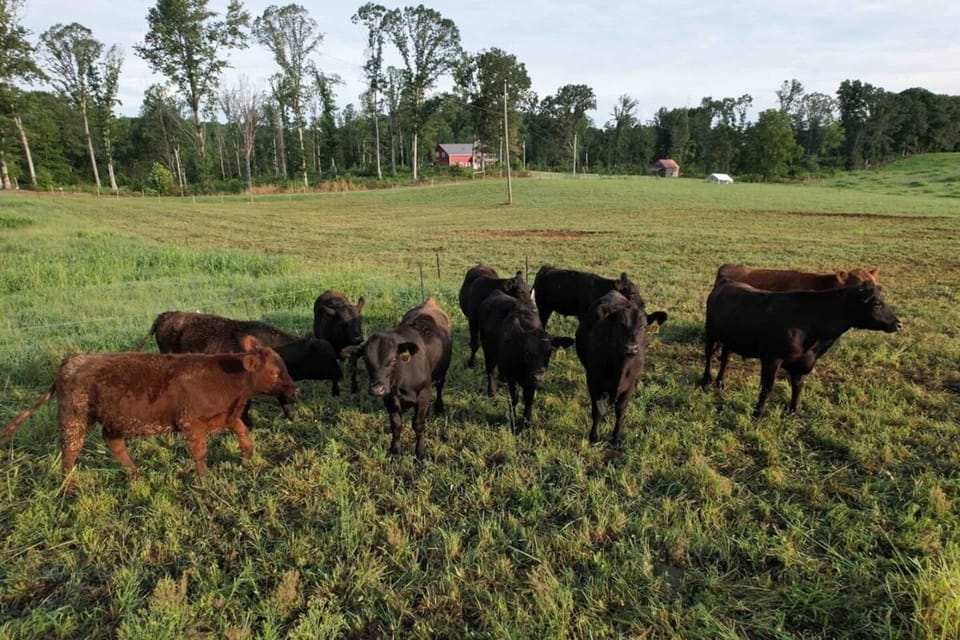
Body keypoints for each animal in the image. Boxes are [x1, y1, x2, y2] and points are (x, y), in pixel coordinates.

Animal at [0, 336, 298, 477]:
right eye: (275, 372)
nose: (295, 389)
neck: (227, 380)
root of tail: (73, 359)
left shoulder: (226, 415)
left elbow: (243, 433)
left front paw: (247, 457)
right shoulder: (191, 424)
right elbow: (200, 454)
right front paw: (204, 481)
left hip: (114, 420)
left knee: (115, 445)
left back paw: (134, 474)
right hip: (74, 417)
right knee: (70, 452)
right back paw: (68, 485)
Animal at [354, 298, 452, 459]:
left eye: (394, 359)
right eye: (366, 359)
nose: (377, 389)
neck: (400, 384)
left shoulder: (423, 394)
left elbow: (418, 424)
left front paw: (420, 453)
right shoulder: (389, 398)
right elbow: (395, 425)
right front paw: (395, 451)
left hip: (442, 371)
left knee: (439, 387)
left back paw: (439, 407)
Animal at [477, 289, 574, 432]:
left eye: (549, 352)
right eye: (527, 352)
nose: (539, 375)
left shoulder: (531, 382)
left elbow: (528, 400)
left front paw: (527, 425)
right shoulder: (511, 376)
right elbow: (514, 398)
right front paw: (513, 423)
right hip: (488, 351)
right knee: (490, 371)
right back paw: (492, 392)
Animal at [575, 291, 669, 444]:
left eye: (643, 327)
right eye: (621, 325)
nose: (631, 348)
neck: (621, 367)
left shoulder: (631, 385)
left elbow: (620, 410)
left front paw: (616, 437)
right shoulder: (593, 382)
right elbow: (597, 411)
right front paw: (594, 437)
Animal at [700, 280, 901, 418]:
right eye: (877, 303)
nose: (899, 324)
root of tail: (726, 282)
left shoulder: (802, 363)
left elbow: (797, 387)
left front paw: (793, 411)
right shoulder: (772, 358)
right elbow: (767, 387)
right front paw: (758, 413)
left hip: (730, 338)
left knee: (725, 358)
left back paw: (720, 382)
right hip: (711, 332)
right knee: (709, 355)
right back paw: (706, 381)